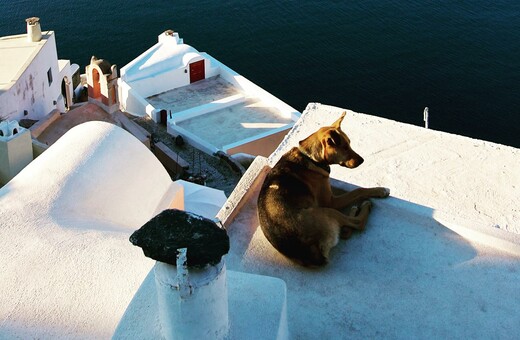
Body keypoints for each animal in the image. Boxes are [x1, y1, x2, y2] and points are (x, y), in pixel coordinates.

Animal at [258, 111, 388, 266]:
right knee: (357, 223)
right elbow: (358, 190)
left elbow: (350, 190)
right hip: (327, 211)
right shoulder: (331, 202)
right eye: (344, 147)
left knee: (346, 230)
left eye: (349, 144)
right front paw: (380, 190)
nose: (362, 161)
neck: (310, 157)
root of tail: (314, 254)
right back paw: (363, 207)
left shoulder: (329, 192)